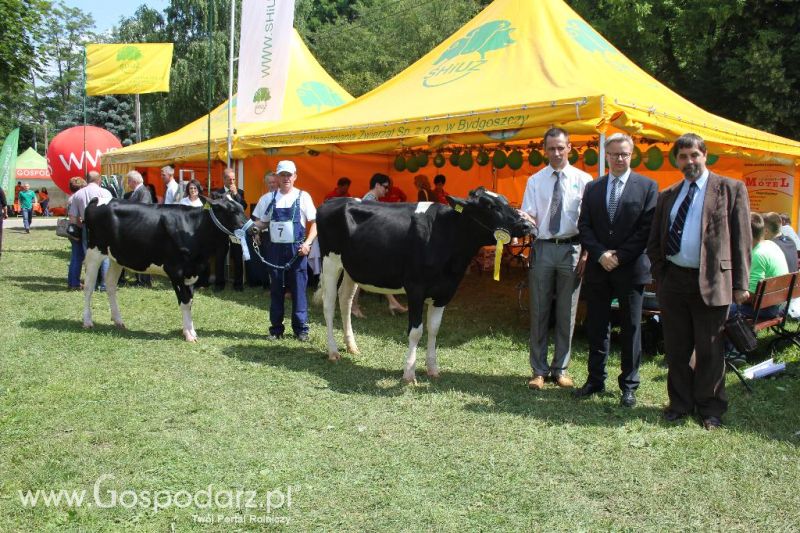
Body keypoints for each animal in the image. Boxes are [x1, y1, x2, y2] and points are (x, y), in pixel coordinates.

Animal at [83, 196, 248, 340]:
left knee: (111, 285)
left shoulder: (191, 273)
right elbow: (184, 301)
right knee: (89, 287)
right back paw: (87, 321)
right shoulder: (175, 271)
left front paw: (191, 331)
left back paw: (118, 321)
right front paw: (189, 334)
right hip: (94, 251)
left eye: (242, 207)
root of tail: (98, 199)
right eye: (232, 211)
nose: (252, 229)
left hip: (116, 258)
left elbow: (190, 302)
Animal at [316, 185, 536, 380]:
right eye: (490, 205)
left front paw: (432, 369)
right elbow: (416, 332)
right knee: (329, 304)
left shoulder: (445, 291)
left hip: (351, 269)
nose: (527, 225)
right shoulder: (415, 288)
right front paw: (409, 373)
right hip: (330, 262)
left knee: (345, 301)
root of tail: (333, 201)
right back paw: (333, 351)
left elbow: (434, 329)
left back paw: (352, 346)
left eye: (505, 200)